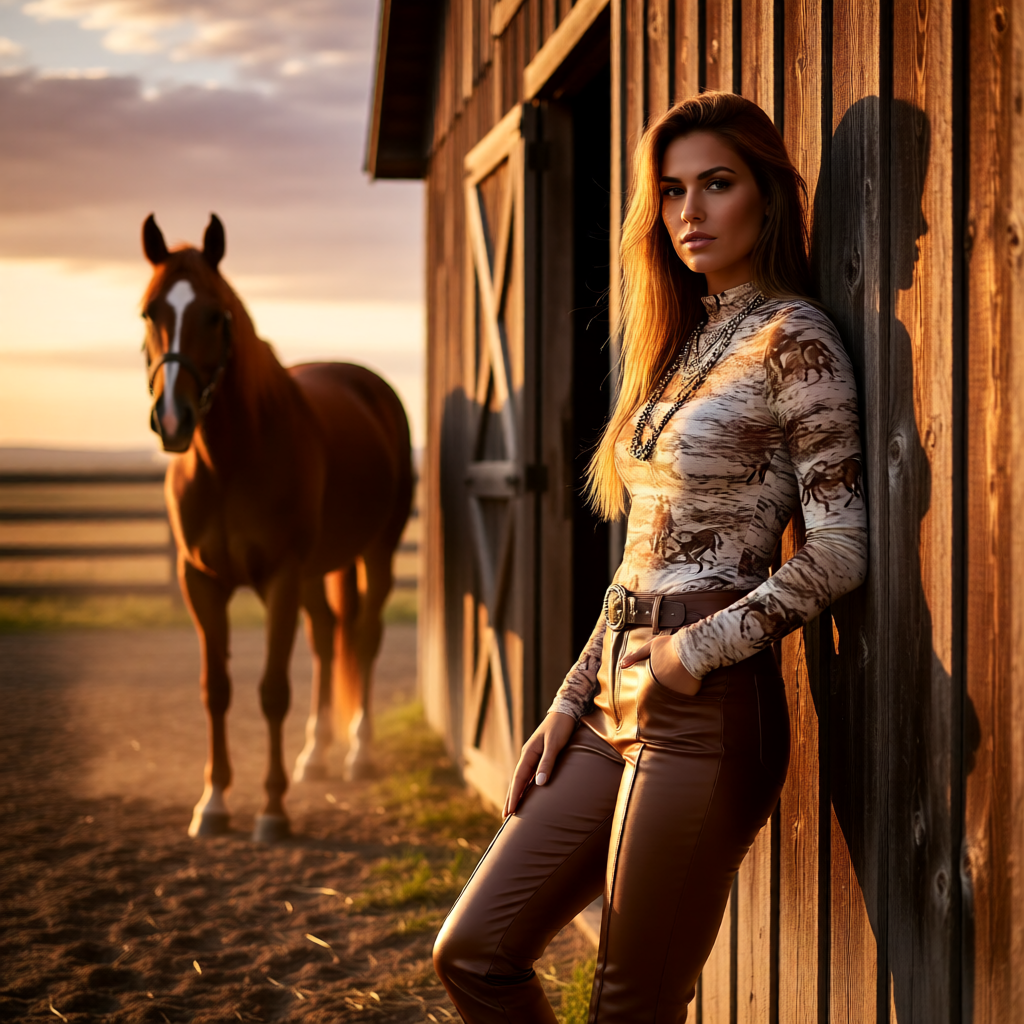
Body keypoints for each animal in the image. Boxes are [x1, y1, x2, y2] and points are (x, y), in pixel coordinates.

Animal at [140, 213, 413, 842]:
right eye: (150, 313)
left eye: (216, 315)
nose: (173, 419)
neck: (230, 460)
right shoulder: (201, 582)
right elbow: (216, 691)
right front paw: (213, 802)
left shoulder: (281, 579)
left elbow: (270, 692)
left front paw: (272, 810)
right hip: (318, 571)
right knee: (326, 637)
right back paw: (315, 755)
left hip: (376, 555)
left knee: (363, 636)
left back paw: (357, 753)